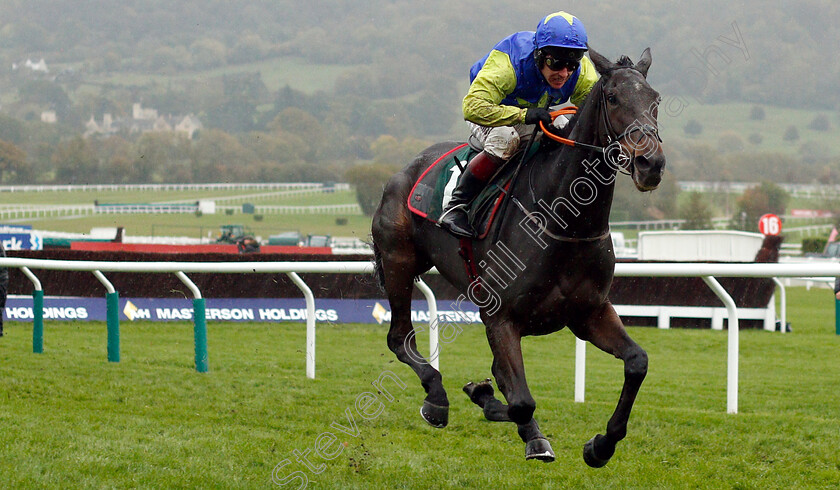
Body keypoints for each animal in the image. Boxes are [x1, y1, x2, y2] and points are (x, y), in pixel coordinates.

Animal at [370, 48, 668, 468]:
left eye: (655, 100)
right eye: (612, 98)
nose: (650, 164)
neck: (563, 222)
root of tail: (408, 168)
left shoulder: (588, 312)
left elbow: (637, 363)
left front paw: (600, 445)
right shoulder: (500, 316)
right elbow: (522, 402)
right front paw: (521, 427)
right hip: (399, 261)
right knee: (399, 338)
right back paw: (437, 398)